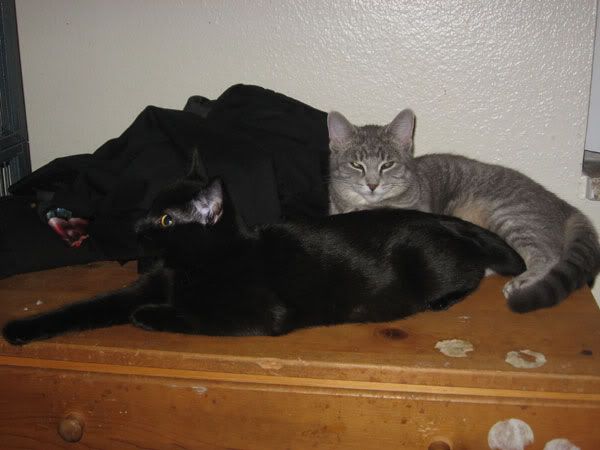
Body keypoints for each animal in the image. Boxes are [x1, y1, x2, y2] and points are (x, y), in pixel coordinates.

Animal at [2, 155, 524, 344]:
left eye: (167, 220)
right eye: (149, 208)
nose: (136, 226)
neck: (191, 265)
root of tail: (438, 217)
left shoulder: (261, 314)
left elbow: (193, 315)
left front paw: (147, 316)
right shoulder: (146, 284)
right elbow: (88, 306)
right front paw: (21, 329)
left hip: (432, 265)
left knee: (473, 272)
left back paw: (446, 298)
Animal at [328, 110, 600, 312]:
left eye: (387, 164)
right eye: (356, 164)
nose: (372, 185)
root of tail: (559, 202)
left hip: (510, 216)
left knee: (547, 256)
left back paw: (522, 280)